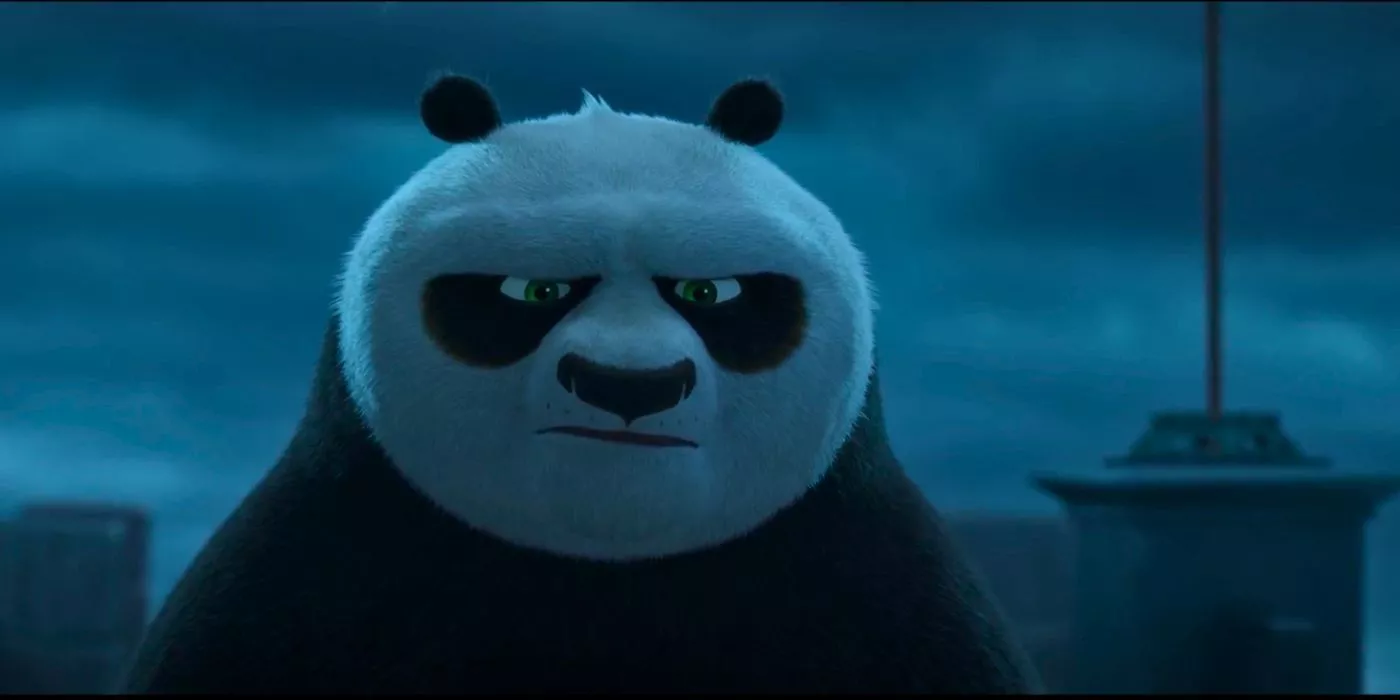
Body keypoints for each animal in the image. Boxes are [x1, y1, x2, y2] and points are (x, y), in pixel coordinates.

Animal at [122, 75, 1039, 694]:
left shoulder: (878, 586)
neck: (610, 557)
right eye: (533, 293)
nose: (628, 386)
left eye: (710, 294)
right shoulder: (305, 571)